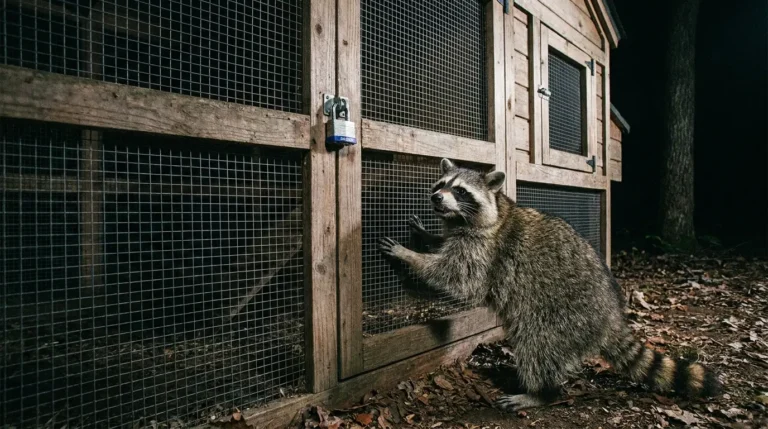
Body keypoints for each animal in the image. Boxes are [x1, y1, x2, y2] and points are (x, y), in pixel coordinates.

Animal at [378, 158, 720, 412]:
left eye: (461, 192)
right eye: (440, 185)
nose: (435, 198)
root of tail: (611, 315)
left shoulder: (486, 249)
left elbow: (459, 279)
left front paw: (411, 256)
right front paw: (429, 238)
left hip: (562, 316)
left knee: (537, 345)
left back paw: (541, 393)